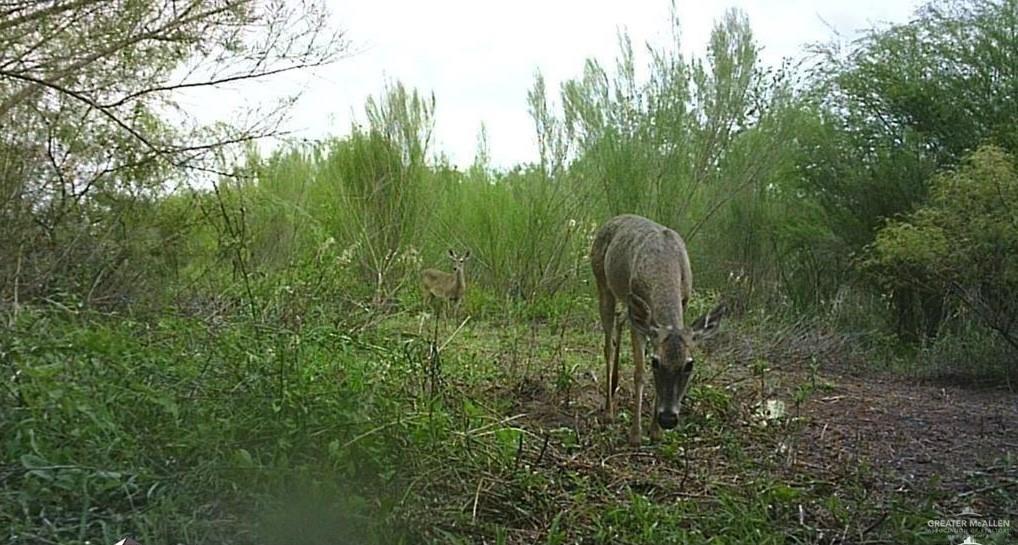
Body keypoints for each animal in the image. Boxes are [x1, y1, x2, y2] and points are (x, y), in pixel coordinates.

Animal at [594, 214, 728, 446]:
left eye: (689, 365)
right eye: (655, 362)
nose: (667, 418)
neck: (663, 267)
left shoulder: (683, 302)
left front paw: (656, 432)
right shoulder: (641, 318)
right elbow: (639, 373)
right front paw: (636, 435)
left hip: (626, 303)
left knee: (620, 320)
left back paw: (614, 384)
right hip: (603, 284)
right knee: (607, 346)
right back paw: (609, 412)